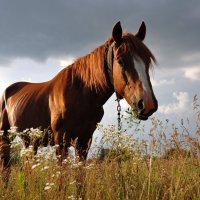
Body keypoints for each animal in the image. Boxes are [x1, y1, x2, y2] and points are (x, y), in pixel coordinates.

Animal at [0, 20, 158, 170]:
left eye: (147, 60)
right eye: (120, 60)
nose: (148, 104)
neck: (81, 95)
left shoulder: (84, 141)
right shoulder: (61, 141)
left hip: (30, 141)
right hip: (6, 137)